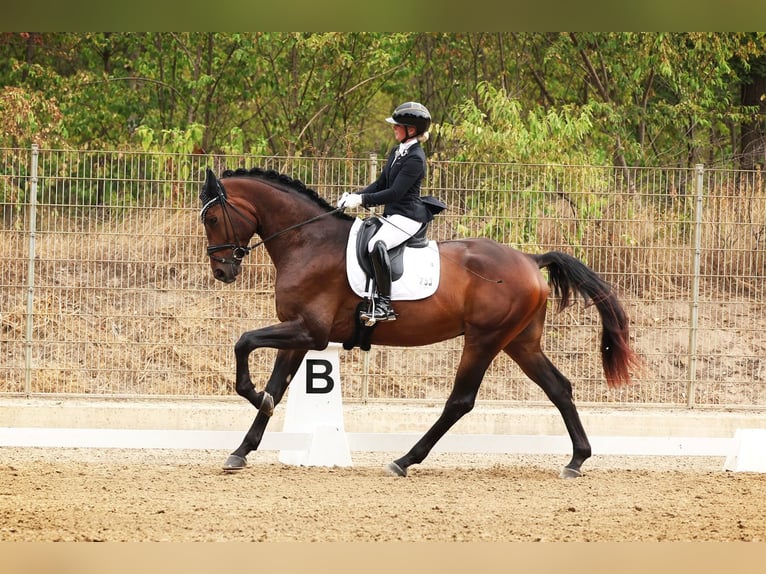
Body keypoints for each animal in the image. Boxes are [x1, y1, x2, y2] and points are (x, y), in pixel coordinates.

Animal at [199, 166, 640, 478]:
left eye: (212, 219)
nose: (222, 272)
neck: (307, 242)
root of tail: (532, 260)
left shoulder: (310, 331)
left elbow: (243, 342)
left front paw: (254, 397)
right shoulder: (300, 333)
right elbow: (276, 385)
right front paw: (241, 449)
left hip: (485, 340)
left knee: (460, 401)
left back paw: (404, 460)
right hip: (520, 342)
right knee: (559, 388)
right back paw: (576, 460)